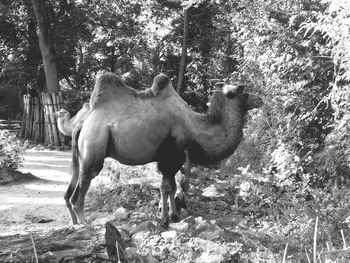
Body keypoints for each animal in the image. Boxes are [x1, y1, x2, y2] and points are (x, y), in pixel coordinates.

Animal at [65, 73, 262, 226]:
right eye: (244, 92)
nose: (260, 99)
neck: (196, 128)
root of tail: (81, 125)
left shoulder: (172, 159)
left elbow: (172, 187)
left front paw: (173, 215)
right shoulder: (171, 156)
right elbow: (167, 187)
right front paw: (165, 218)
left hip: (80, 157)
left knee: (69, 192)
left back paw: (74, 224)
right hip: (94, 146)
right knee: (79, 193)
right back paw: (85, 224)